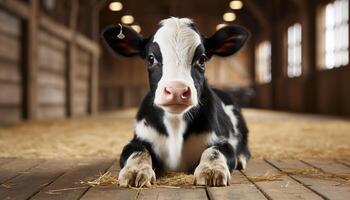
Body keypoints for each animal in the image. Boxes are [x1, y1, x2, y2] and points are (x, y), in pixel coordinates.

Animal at [102, 17, 252, 188]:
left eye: (202, 59)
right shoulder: (137, 139)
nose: (177, 91)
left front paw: (211, 170)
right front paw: (135, 171)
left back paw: (240, 159)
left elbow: (215, 151)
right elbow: (138, 151)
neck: (175, 126)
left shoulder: (222, 141)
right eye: (151, 58)